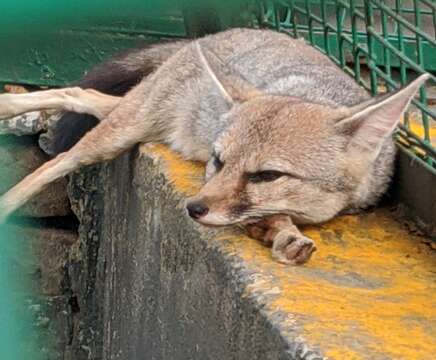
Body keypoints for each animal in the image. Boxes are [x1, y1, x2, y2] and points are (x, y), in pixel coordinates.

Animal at [0, 28, 430, 264]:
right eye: (217, 161)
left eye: (267, 175)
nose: (192, 207)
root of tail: (208, 37)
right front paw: (284, 233)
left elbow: (271, 216)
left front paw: (283, 236)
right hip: (119, 133)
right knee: (57, 160)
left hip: (136, 119)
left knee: (82, 93)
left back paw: (14, 108)